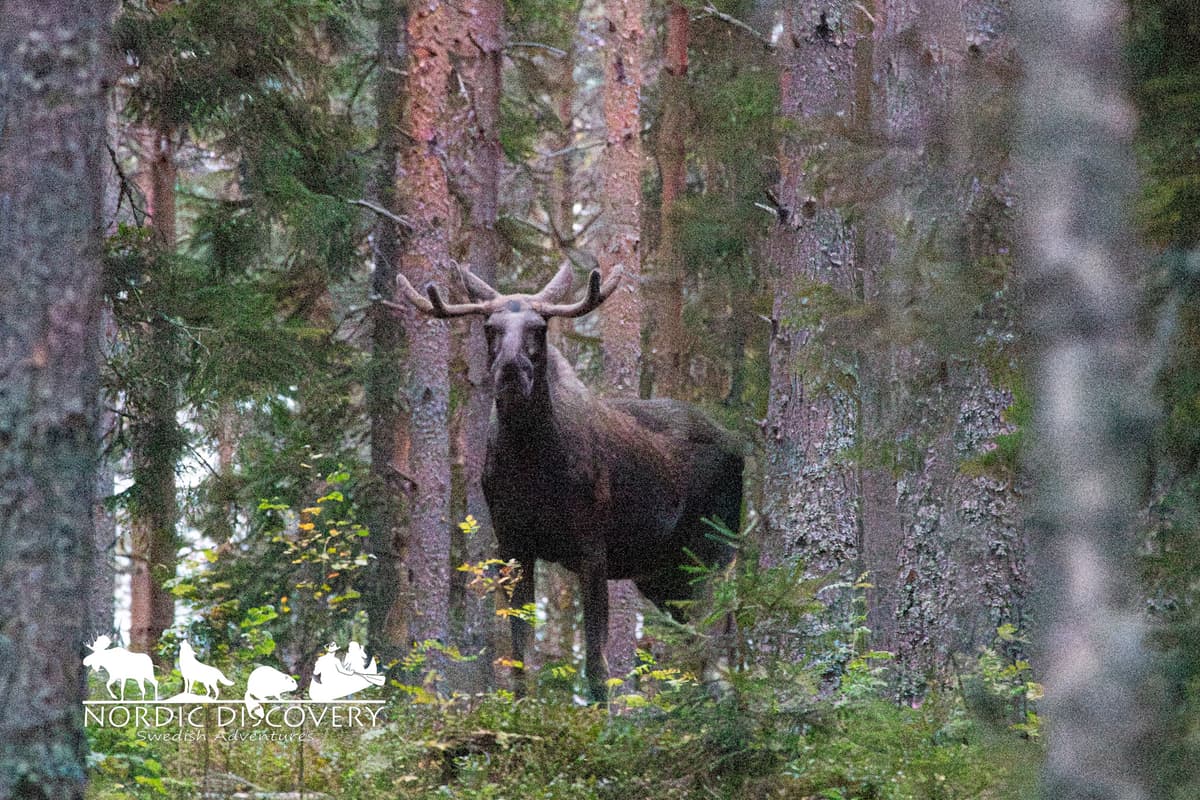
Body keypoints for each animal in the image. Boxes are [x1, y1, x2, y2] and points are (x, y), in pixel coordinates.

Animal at [391, 263, 743, 701]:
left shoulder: (592, 546)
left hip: (714, 551)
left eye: (539, 327)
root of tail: (740, 447)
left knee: (716, 642)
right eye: (490, 327)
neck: (532, 466)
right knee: (699, 642)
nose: (511, 371)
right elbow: (521, 655)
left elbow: (597, 664)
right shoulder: (513, 544)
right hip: (663, 575)